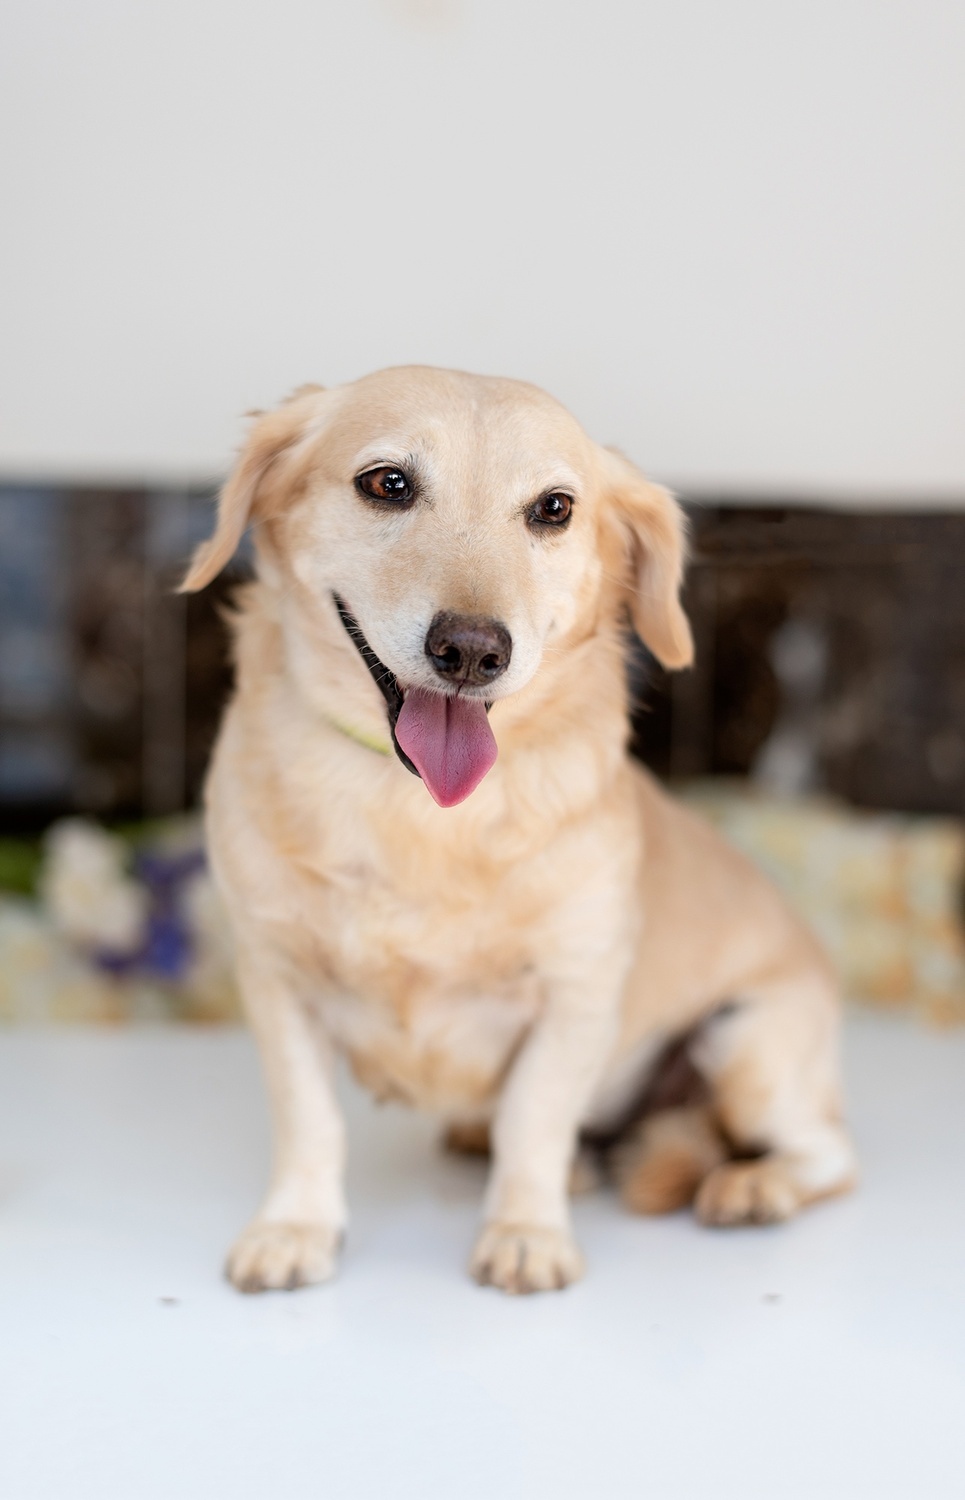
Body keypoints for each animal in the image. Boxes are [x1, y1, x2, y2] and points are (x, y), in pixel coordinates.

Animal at [179, 363, 852, 1290]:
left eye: (553, 509)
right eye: (387, 483)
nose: (471, 651)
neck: (418, 811)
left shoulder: (573, 994)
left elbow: (531, 1124)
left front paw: (526, 1231)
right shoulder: (277, 981)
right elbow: (311, 1122)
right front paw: (296, 1226)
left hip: (746, 1046)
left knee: (829, 1154)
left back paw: (756, 1187)